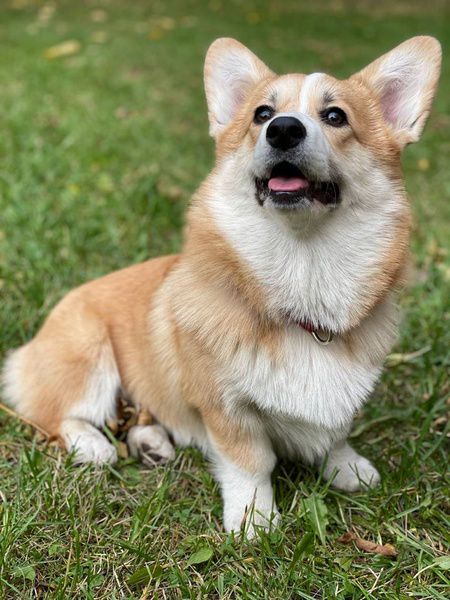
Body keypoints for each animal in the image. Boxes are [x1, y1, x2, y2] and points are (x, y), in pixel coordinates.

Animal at [2, 36, 441, 536]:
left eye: (335, 116)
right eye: (262, 114)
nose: (283, 130)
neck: (304, 268)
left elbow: (334, 434)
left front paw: (347, 467)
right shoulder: (226, 408)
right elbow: (251, 462)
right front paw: (254, 520)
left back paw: (152, 442)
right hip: (88, 355)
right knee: (55, 416)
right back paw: (93, 445)